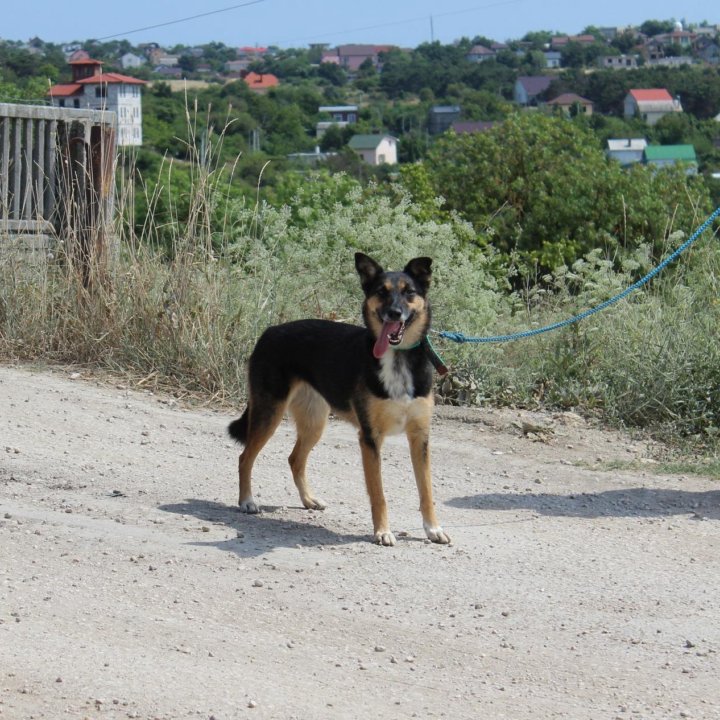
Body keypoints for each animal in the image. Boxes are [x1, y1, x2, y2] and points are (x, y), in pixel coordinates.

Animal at [228, 253, 450, 544]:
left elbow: (427, 492)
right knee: (245, 458)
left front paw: (433, 529)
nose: (394, 313)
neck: (398, 358)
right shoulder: (370, 438)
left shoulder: (420, 436)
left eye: (409, 292)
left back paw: (308, 499)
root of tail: (270, 330)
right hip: (269, 413)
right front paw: (383, 532)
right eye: (381, 292)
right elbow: (379, 494)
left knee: (295, 459)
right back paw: (247, 501)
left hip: (314, 422)